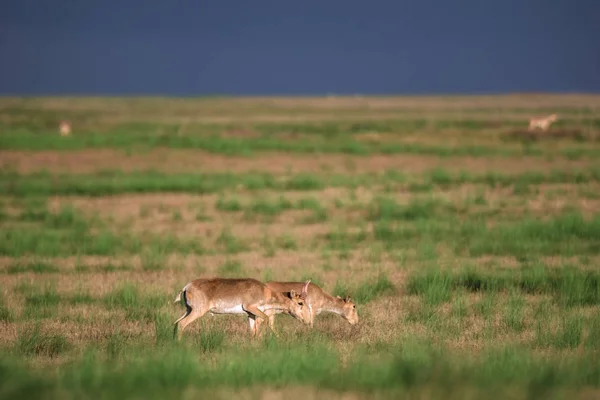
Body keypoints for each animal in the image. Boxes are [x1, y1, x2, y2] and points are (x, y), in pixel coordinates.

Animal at [173, 278, 312, 340]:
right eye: (300, 303)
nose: (307, 321)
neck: (265, 292)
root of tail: (187, 287)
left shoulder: (250, 314)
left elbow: (252, 330)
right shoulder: (252, 308)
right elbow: (265, 320)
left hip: (188, 310)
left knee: (176, 323)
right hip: (198, 311)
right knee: (181, 324)